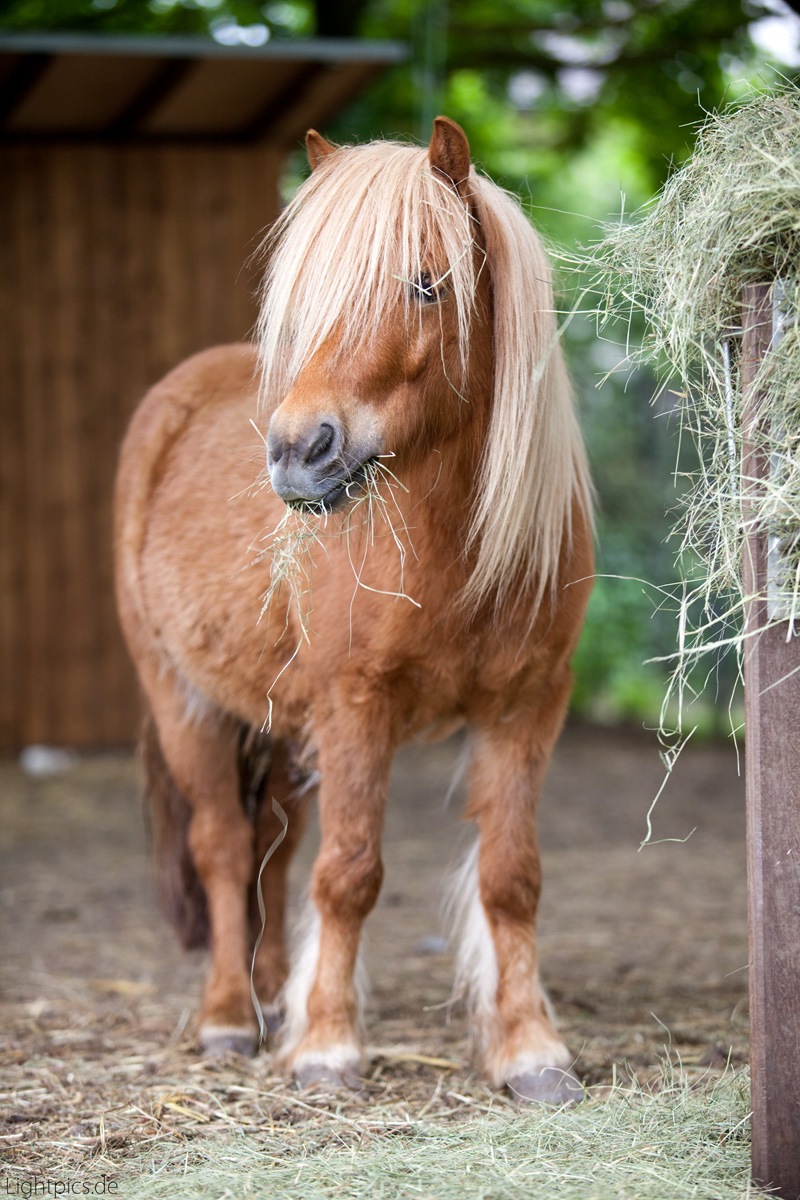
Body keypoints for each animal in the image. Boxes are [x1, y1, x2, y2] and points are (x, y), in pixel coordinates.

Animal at [117, 117, 594, 1099]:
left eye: (426, 283)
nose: (298, 453)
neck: (455, 549)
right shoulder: (353, 707)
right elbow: (349, 873)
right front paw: (330, 1046)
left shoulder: (529, 706)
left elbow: (511, 876)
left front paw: (530, 1051)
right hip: (187, 704)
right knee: (226, 846)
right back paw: (230, 1017)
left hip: (277, 726)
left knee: (271, 844)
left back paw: (270, 995)